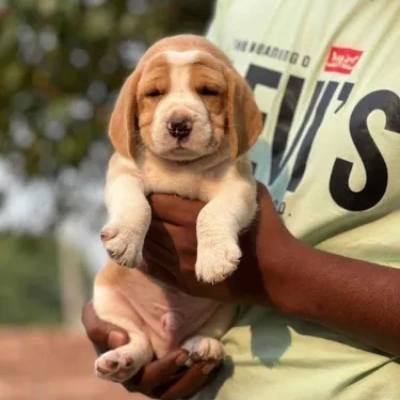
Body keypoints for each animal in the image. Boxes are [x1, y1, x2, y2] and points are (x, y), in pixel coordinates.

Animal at [92, 34, 264, 382]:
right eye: (154, 94)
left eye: (208, 92)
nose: (179, 125)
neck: (182, 167)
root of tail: (166, 342)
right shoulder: (123, 172)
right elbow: (135, 204)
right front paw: (126, 240)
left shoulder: (238, 187)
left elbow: (211, 214)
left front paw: (213, 258)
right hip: (105, 297)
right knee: (138, 340)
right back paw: (120, 360)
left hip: (227, 307)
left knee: (204, 332)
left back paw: (204, 347)